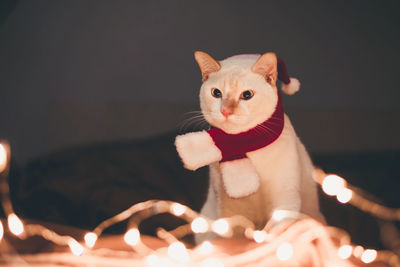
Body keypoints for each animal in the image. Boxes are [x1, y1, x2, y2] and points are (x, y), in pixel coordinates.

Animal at [175, 51, 324, 240]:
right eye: (216, 93)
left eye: (247, 95)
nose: (226, 111)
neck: (245, 146)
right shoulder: (228, 210)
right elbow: (235, 238)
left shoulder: (285, 200)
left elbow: (272, 234)